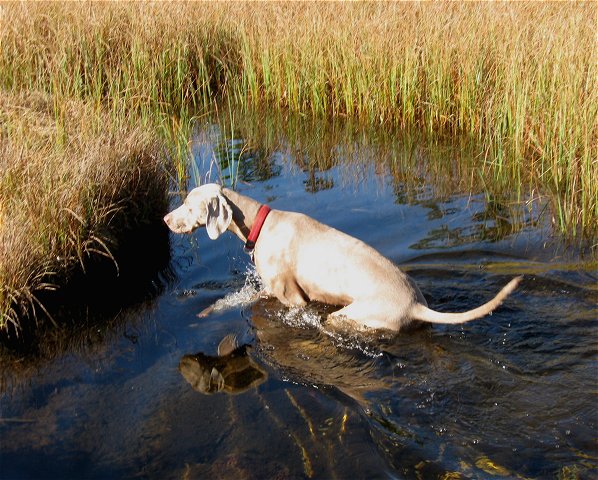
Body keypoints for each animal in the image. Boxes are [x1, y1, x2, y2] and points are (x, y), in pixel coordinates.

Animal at [164, 184, 520, 334]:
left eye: (188, 205)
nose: (165, 219)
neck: (261, 224)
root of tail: (416, 304)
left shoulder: (293, 298)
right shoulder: (266, 289)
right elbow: (230, 300)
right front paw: (205, 312)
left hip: (351, 315)